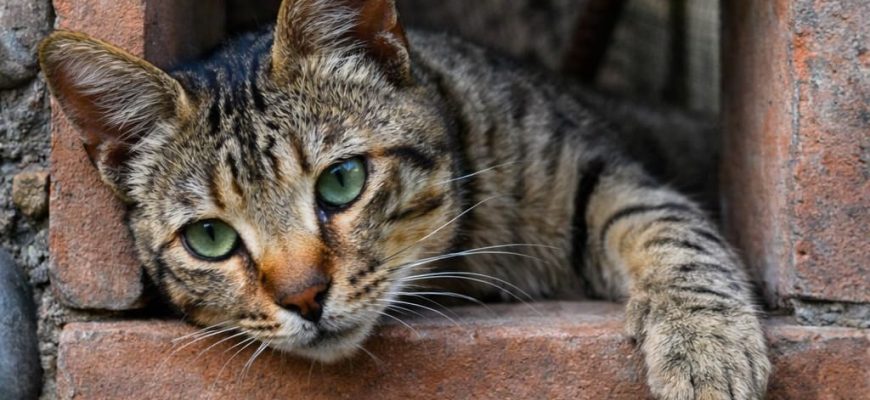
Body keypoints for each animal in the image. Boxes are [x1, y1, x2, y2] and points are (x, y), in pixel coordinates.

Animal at [39, 0, 770, 398]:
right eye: (210, 238)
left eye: (341, 180)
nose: (304, 297)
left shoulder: (606, 173)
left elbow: (672, 231)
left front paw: (706, 344)